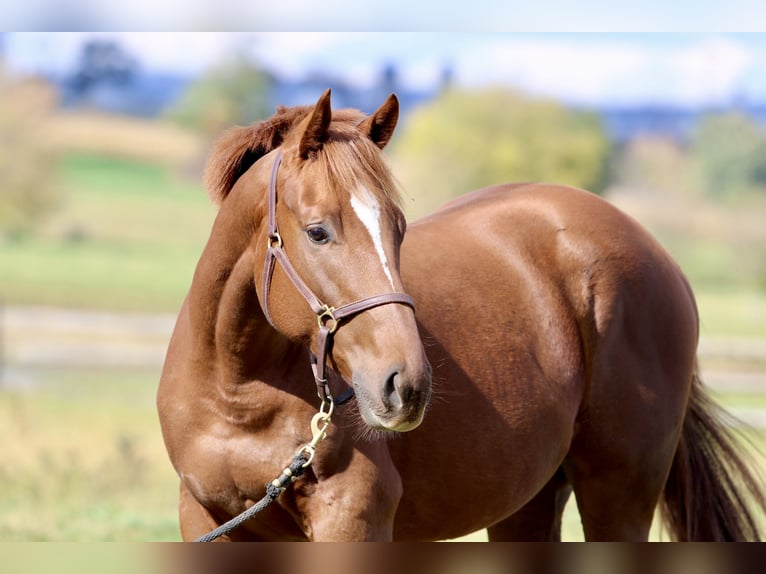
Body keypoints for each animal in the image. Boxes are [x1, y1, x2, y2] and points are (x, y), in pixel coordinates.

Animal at [158, 88, 766, 544]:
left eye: (399, 227)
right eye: (317, 231)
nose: (405, 385)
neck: (238, 391)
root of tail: (659, 256)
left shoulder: (352, 517)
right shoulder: (204, 519)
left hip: (619, 493)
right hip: (529, 501)